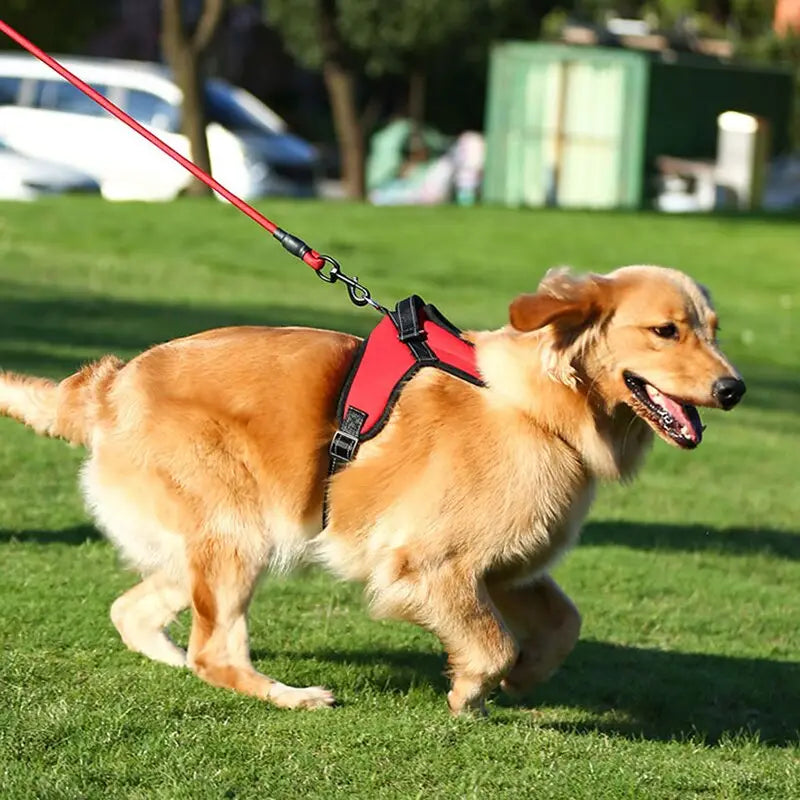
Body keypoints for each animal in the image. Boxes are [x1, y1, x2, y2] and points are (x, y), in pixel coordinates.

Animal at [0, 268, 744, 712]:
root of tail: (107, 386)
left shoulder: (508, 568)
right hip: (240, 533)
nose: (734, 388)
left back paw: (174, 658)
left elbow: (563, 624)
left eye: (712, 330)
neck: (541, 406)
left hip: (215, 543)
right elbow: (492, 643)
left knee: (136, 613)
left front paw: (524, 681)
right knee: (212, 650)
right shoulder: (428, 565)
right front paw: (471, 692)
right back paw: (291, 696)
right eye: (665, 330)